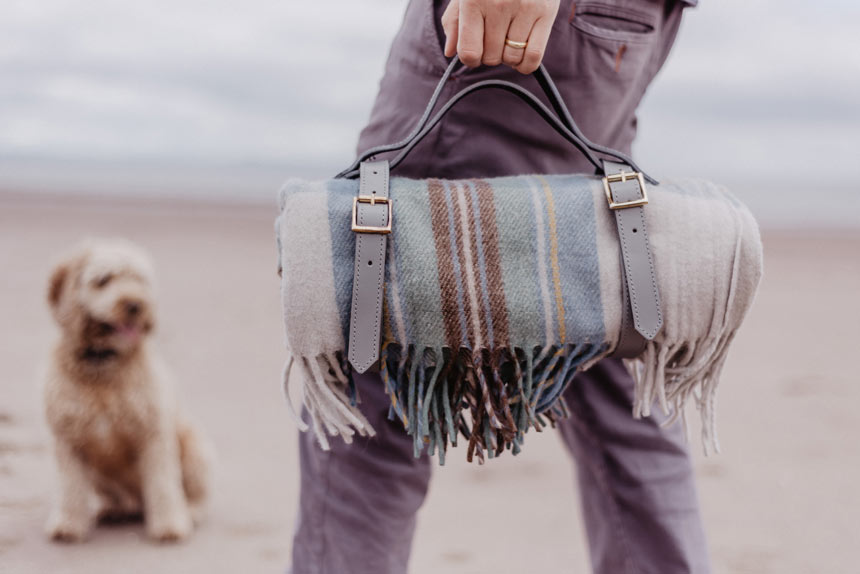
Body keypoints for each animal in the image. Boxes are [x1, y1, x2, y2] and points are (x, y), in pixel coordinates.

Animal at [42, 240, 212, 544]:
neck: (104, 366)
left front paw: (170, 525)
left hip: (194, 447)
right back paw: (114, 509)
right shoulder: (67, 441)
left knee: (193, 494)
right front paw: (67, 524)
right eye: (103, 280)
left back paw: (190, 511)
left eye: (140, 280)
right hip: (98, 474)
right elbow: (71, 488)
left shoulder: (153, 434)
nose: (136, 305)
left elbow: (163, 484)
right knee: (123, 500)